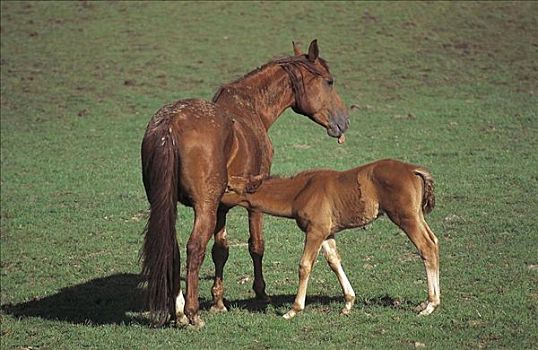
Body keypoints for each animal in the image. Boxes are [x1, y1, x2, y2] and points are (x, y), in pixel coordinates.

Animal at [139, 41, 348, 328]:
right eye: (329, 81)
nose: (344, 122)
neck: (250, 107)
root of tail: (171, 124)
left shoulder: (221, 207)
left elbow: (220, 250)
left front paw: (218, 301)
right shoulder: (254, 198)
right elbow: (256, 245)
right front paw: (261, 292)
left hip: (167, 205)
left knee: (173, 250)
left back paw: (179, 312)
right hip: (203, 208)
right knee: (194, 248)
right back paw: (192, 313)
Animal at [226, 160, 440, 318]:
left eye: (228, 187)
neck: (301, 191)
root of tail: (413, 169)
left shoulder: (315, 232)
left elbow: (305, 265)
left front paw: (293, 310)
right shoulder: (327, 233)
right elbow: (334, 261)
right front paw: (348, 303)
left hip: (406, 218)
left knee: (426, 247)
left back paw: (430, 305)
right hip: (417, 216)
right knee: (434, 242)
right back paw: (429, 302)